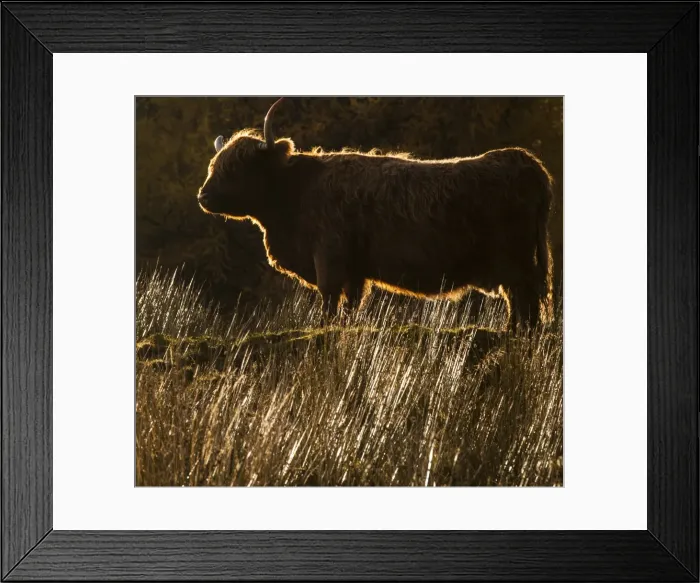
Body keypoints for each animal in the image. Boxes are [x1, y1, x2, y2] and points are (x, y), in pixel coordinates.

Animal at [197, 98, 554, 331]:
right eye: (215, 165)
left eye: (237, 167)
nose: (203, 196)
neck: (298, 191)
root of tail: (524, 161)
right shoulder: (356, 270)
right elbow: (351, 304)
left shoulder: (329, 257)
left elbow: (329, 299)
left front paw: (325, 328)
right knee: (520, 301)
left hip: (516, 261)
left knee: (525, 301)